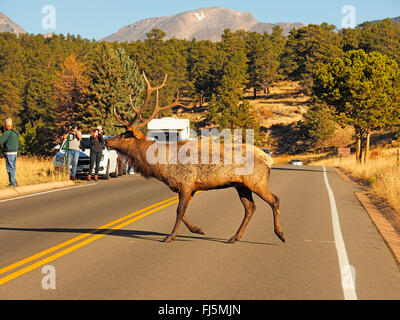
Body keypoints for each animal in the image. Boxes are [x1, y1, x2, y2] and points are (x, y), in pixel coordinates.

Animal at [104, 74, 284, 244]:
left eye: (126, 135)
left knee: (274, 200)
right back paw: (234, 237)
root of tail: (269, 160)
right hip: (241, 185)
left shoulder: (186, 184)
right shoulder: (188, 188)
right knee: (250, 207)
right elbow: (181, 212)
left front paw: (170, 237)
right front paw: (198, 229)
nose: (107, 141)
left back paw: (280, 234)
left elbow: (179, 211)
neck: (162, 165)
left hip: (257, 181)